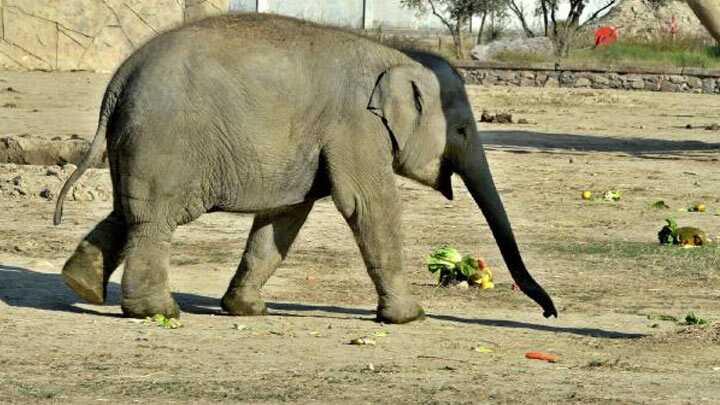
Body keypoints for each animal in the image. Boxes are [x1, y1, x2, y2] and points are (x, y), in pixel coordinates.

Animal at [54, 12, 556, 324]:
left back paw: (82, 285)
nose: (551, 312)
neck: (393, 54)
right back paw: (157, 312)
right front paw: (411, 317)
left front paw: (247, 310)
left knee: (129, 211)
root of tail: (119, 78)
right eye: (464, 131)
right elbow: (368, 205)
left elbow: (284, 217)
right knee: (155, 218)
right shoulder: (356, 126)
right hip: (165, 141)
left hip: (138, 143)